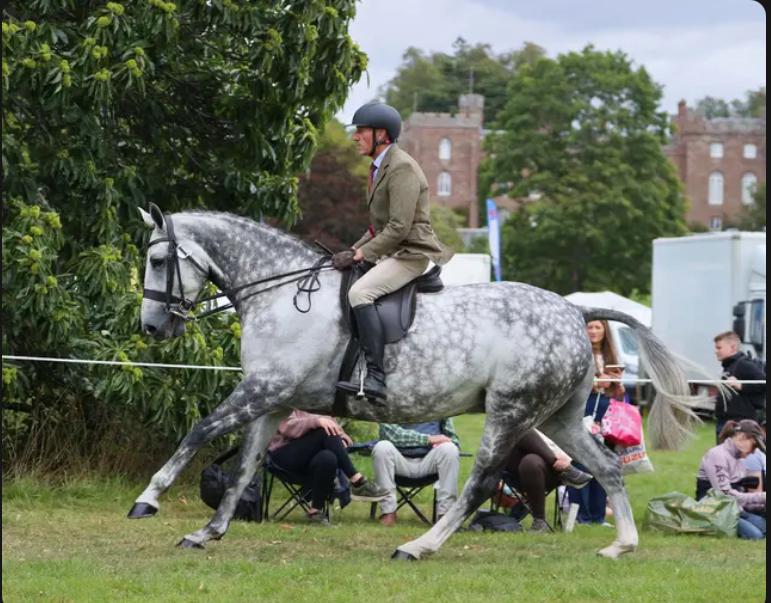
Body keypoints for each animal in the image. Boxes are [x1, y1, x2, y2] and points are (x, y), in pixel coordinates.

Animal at [129, 203, 699, 560]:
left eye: (157, 260)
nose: (152, 328)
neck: (282, 293)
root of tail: (576, 312)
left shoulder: (263, 390)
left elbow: (199, 431)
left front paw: (148, 500)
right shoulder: (273, 401)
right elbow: (246, 466)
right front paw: (208, 531)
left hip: (510, 411)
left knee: (482, 482)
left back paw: (417, 547)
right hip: (558, 418)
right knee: (606, 467)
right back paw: (621, 545)